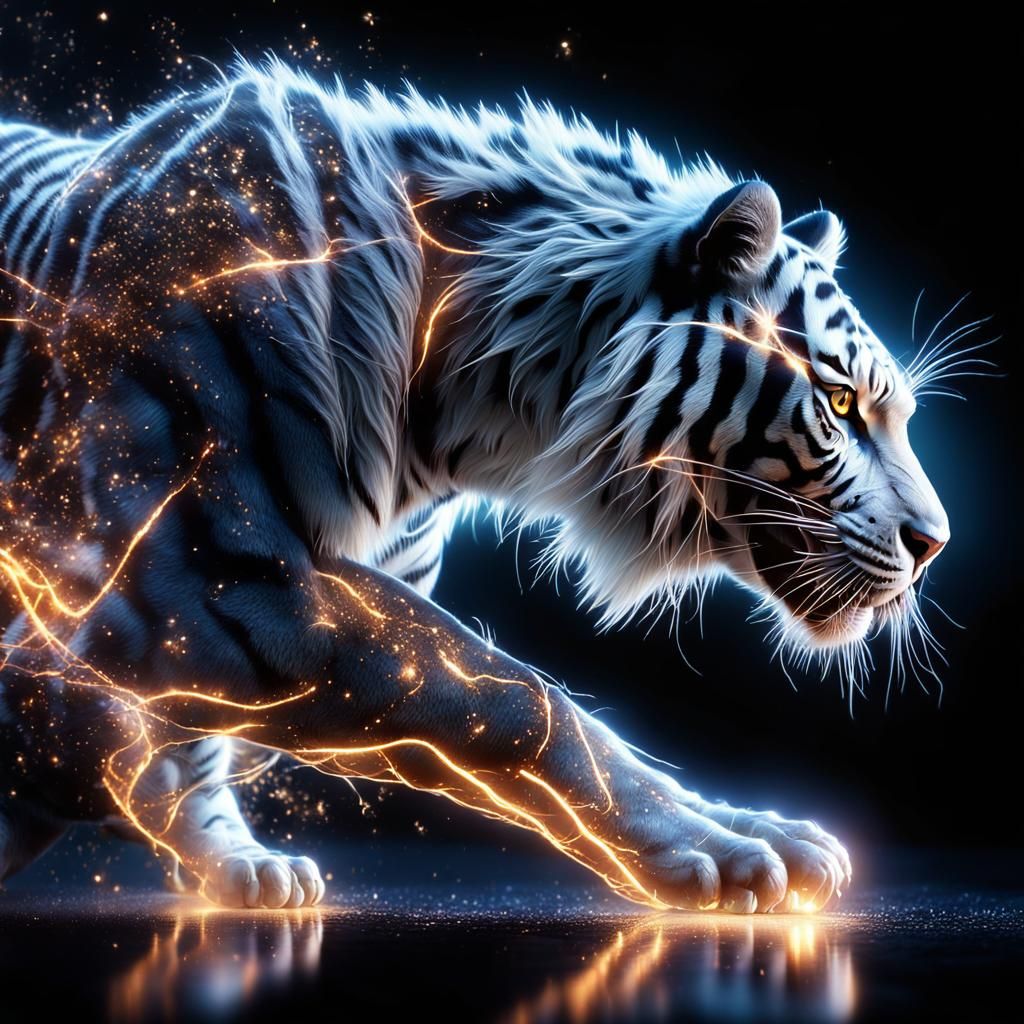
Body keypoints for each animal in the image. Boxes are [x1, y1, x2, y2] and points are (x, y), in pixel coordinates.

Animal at [0, 56, 951, 914]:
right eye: (839, 402)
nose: (933, 544)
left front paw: (753, 829)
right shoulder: (195, 572)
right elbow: (514, 700)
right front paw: (711, 848)